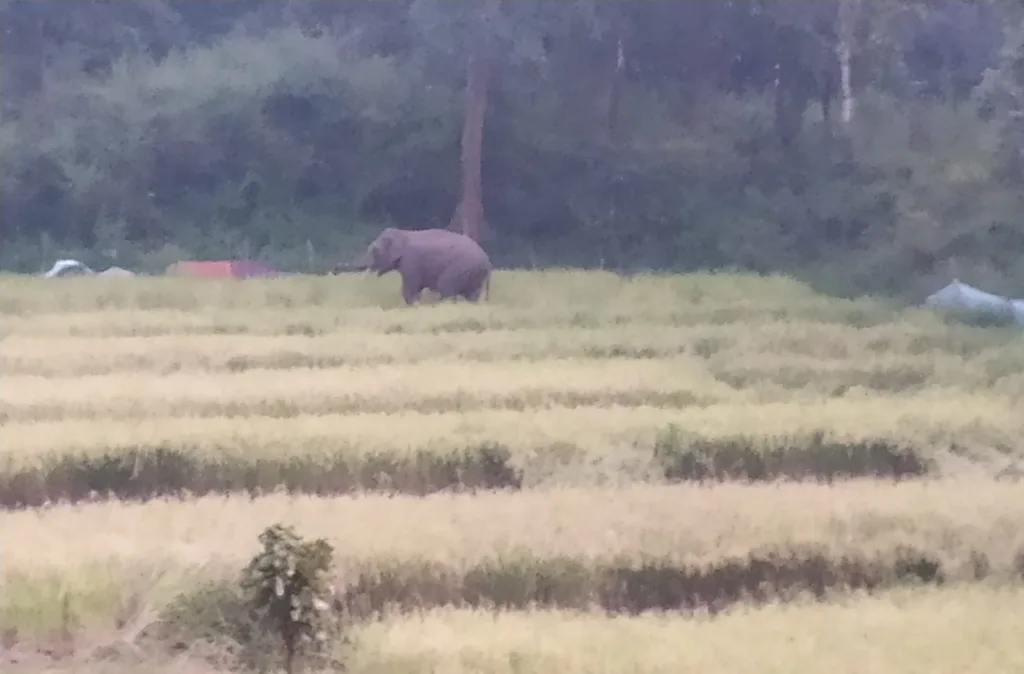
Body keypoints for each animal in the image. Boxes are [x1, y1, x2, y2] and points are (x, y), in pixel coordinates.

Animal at [334, 227, 492, 305]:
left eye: (375, 250)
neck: (403, 234)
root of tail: (488, 262)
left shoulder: (411, 261)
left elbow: (410, 287)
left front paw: (412, 305)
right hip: (474, 273)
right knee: (472, 294)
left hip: (460, 269)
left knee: (446, 288)